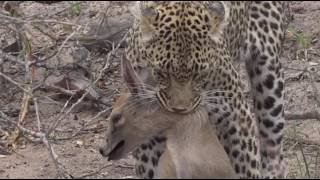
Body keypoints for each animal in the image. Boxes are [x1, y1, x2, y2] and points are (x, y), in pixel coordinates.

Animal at [122, 1, 288, 179]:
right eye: (162, 73)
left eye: (200, 74)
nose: (180, 110)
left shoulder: (235, 117)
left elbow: (246, 166)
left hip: (269, 76)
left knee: (273, 148)